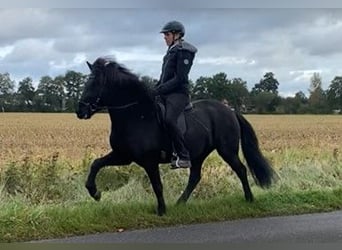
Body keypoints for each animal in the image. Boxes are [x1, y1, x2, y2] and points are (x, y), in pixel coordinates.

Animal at [77, 56, 276, 215]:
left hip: (227, 150)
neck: (136, 116)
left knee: (240, 169)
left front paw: (161, 210)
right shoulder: (123, 156)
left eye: (94, 84)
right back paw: (180, 202)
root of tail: (230, 110)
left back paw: (249, 198)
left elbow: (157, 185)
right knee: (195, 177)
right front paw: (95, 193)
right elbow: (96, 164)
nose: (80, 111)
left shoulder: (149, 161)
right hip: (198, 154)